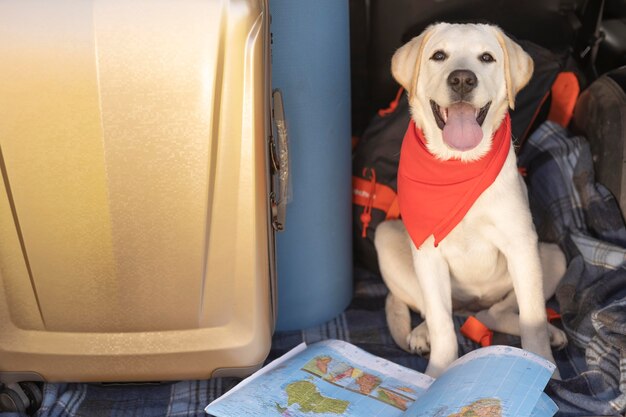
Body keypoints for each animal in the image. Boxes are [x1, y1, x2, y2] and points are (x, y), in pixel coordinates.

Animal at [372, 22, 568, 376]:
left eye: (486, 58)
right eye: (439, 55)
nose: (462, 79)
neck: (459, 165)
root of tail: (472, 306)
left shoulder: (521, 245)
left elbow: (533, 320)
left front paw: (544, 367)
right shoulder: (428, 252)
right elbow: (441, 325)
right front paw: (436, 375)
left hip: (552, 257)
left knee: (497, 314)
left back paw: (551, 332)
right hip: (387, 237)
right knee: (439, 313)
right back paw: (421, 334)